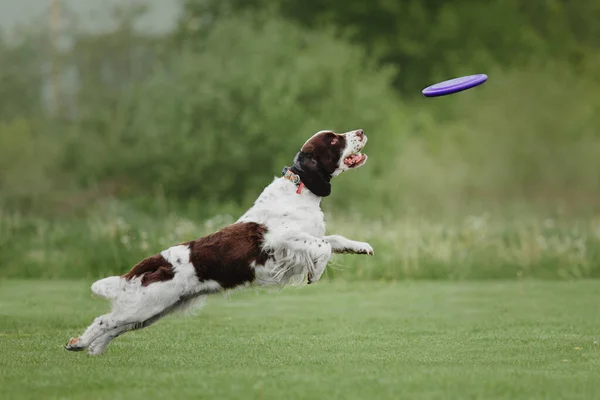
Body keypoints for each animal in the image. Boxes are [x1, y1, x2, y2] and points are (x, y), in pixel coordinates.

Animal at [67, 127, 376, 354]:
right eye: (333, 139)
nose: (361, 131)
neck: (301, 189)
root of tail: (157, 260)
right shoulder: (279, 238)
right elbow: (322, 247)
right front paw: (316, 273)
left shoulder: (307, 237)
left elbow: (333, 239)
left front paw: (362, 247)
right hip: (148, 304)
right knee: (105, 320)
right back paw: (78, 344)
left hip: (152, 310)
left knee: (115, 326)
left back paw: (93, 349)